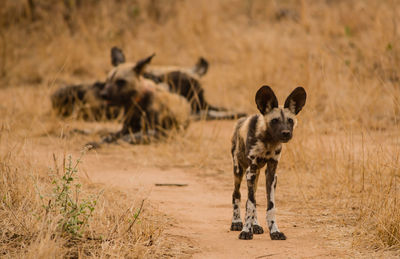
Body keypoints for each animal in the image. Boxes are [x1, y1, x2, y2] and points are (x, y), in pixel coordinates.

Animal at [230, 86, 308, 242]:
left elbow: (269, 206)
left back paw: (255, 225)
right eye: (275, 120)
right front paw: (246, 231)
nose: (286, 133)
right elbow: (251, 204)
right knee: (237, 195)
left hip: (256, 175)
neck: (268, 141)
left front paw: (274, 231)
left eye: (290, 120)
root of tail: (240, 120)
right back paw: (237, 222)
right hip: (240, 171)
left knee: (250, 199)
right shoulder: (251, 170)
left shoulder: (271, 173)